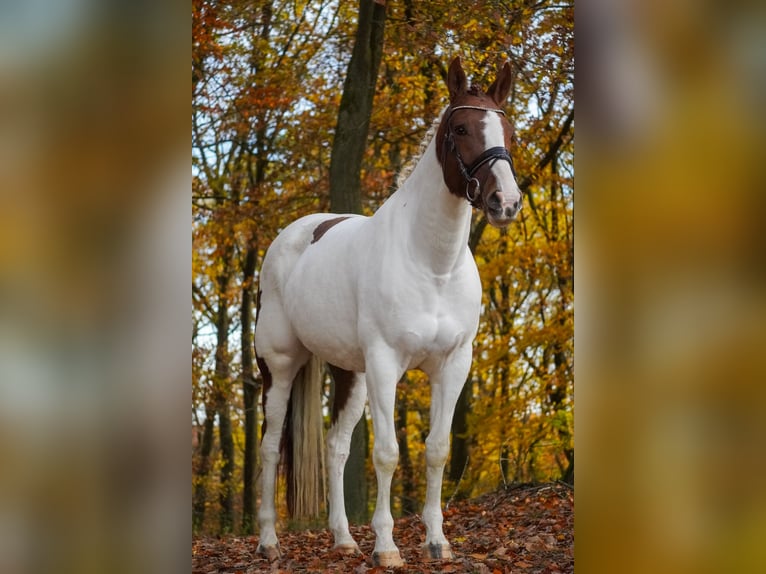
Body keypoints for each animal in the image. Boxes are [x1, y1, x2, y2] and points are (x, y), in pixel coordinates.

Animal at [254, 56, 522, 567]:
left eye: (508, 130)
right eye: (460, 128)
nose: (506, 203)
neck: (432, 264)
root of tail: (290, 237)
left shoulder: (453, 364)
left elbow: (435, 450)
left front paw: (437, 541)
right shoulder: (384, 364)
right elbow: (388, 454)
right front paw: (387, 547)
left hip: (349, 374)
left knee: (336, 448)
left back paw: (343, 539)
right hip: (280, 367)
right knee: (270, 447)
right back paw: (269, 542)